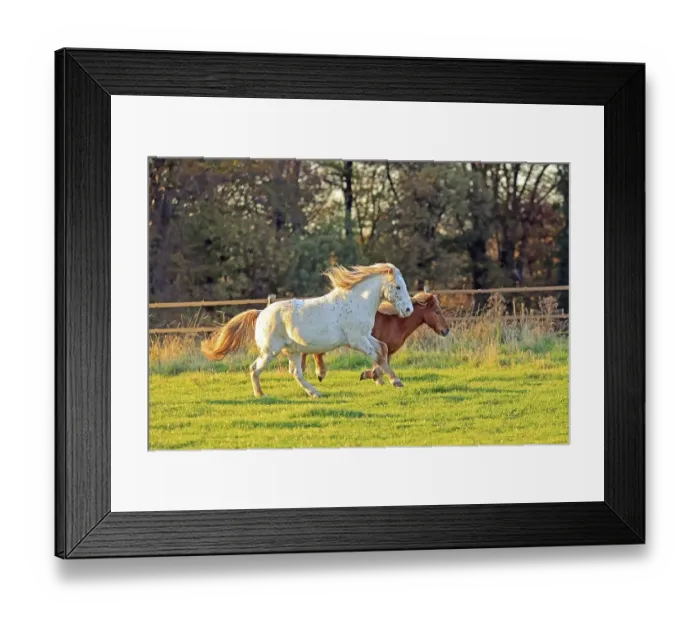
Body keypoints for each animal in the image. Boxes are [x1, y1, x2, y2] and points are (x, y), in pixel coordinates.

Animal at [200, 263, 414, 398]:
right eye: (398, 287)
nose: (408, 310)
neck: (356, 302)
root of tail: (261, 313)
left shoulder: (365, 336)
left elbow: (383, 348)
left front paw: (377, 377)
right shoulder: (356, 340)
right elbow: (377, 355)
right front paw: (395, 381)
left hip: (292, 351)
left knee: (296, 373)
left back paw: (315, 393)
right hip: (270, 352)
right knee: (255, 369)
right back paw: (261, 394)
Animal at [301, 291, 450, 385]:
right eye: (437, 312)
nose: (446, 330)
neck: (396, 322)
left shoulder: (387, 350)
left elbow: (382, 365)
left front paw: (378, 379)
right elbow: (380, 366)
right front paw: (371, 376)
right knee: (315, 354)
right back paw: (319, 373)